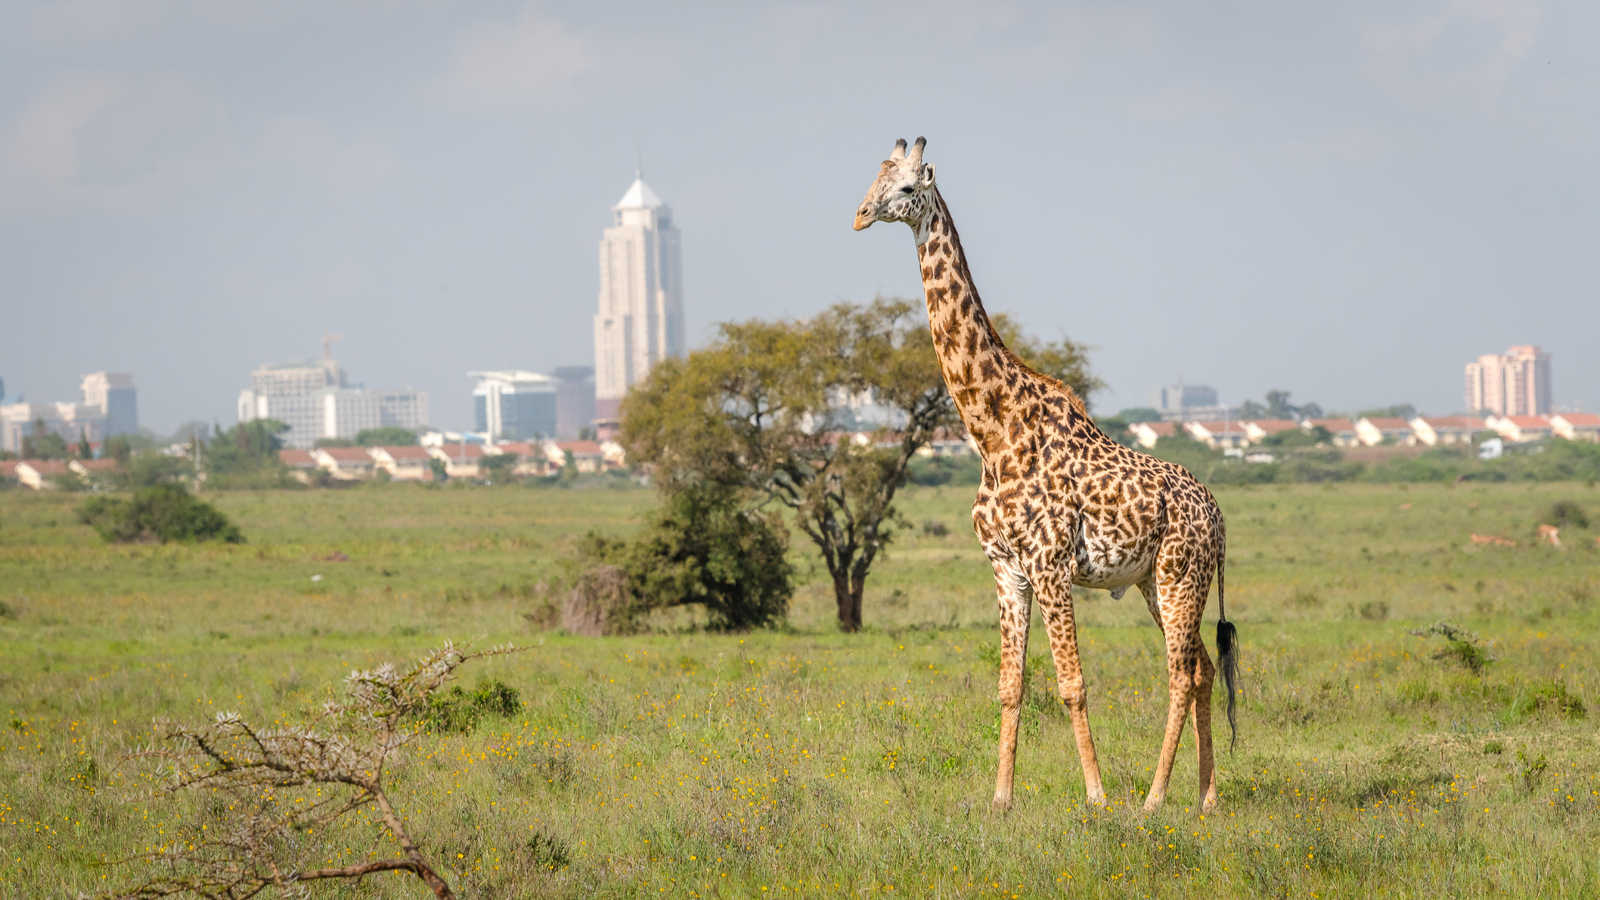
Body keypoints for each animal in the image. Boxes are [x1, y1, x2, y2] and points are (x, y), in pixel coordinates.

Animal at [853, 137, 1239, 814]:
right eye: (874, 178)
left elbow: (1071, 684)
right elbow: (1010, 686)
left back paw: (1153, 799)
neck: (992, 430)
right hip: (1153, 581)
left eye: (905, 187)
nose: (860, 215)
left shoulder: (1051, 565)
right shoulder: (1007, 569)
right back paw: (1206, 797)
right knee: (1203, 669)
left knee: (1180, 673)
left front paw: (1097, 797)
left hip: (1180, 574)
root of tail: (1217, 517)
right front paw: (1001, 800)